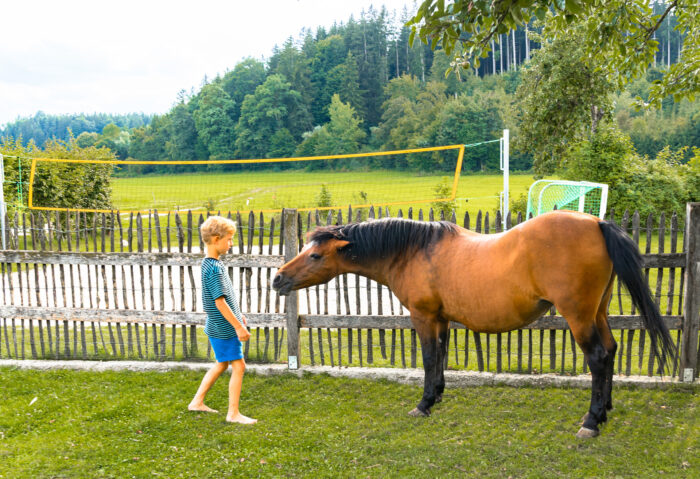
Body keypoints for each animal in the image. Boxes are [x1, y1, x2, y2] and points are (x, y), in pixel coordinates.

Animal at [270, 212, 676, 440]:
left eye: (316, 255)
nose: (278, 279)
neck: (413, 250)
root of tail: (595, 222)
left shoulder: (424, 317)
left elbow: (429, 358)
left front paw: (423, 404)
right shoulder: (441, 318)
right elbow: (440, 358)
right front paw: (437, 396)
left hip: (578, 317)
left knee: (597, 358)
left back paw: (591, 421)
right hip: (598, 313)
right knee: (610, 351)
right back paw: (605, 410)